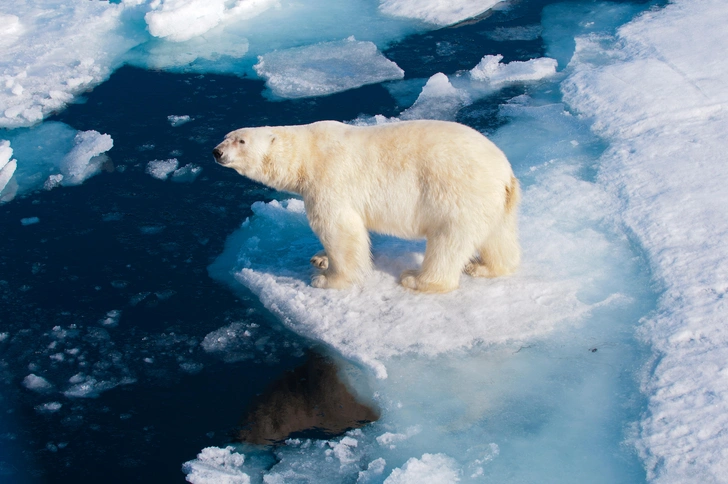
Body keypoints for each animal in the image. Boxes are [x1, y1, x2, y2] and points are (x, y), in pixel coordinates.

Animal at [213, 120, 520, 294]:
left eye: (241, 140)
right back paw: (485, 267)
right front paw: (320, 258)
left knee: (448, 242)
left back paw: (417, 280)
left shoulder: (329, 178)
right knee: (498, 236)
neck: (306, 154)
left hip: (458, 194)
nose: (216, 151)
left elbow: (339, 229)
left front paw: (326, 279)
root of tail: (505, 174)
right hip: (494, 202)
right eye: (226, 135)